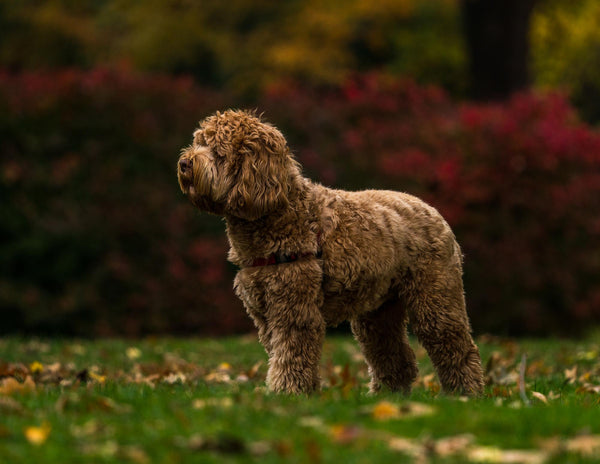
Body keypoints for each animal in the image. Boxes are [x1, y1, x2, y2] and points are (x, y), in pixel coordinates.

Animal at [176, 109, 486, 396]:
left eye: (218, 152)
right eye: (198, 142)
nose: (184, 162)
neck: (277, 209)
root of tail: (431, 210)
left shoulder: (294, 307)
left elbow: (290, 353)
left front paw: (285, 392)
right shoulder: (265, 313)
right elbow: (284, 354)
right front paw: (305, 392)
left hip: (435, 296)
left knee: (455, 345)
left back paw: (465, 394)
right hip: (378, 310)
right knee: (394, 355)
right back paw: (387, 396)